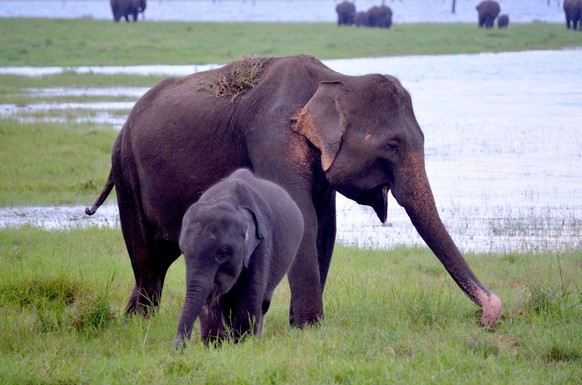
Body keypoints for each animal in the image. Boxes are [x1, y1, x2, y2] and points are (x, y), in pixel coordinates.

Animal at [85, 54, 502, 328]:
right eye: (394, 145)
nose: (488, 314)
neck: (335, 78)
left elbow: (324, 227)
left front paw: (299, 324)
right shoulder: (274, 138)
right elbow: (302, 219)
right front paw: (308, 326)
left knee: (160, 258)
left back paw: (139, 320)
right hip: (128, 172)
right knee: (146, 255)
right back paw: (141, 322)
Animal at [173, 167, 306, 348]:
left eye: (222, 253)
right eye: (184, 252)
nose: (178, 350)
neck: (226, 199)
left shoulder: (261, 243)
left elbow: (246, 298)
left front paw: (242, 343)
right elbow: (211, 301)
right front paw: (215, 346)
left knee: (263, 304)